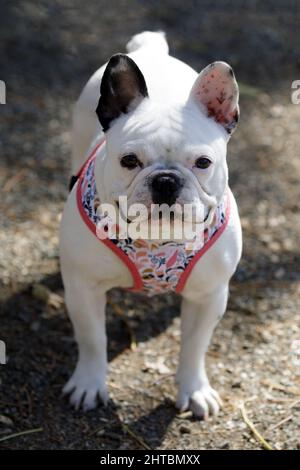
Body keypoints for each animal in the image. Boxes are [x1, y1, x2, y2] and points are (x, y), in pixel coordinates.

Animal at [59, 31, 243, 418]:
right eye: (129, 160)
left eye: (203, 162)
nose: (166, 180)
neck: (159, 242)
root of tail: (152, 50)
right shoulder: (84, 290)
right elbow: (92, 339)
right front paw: (89, 384)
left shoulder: (209, 296)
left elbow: (194, 346)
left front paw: (194, 389)